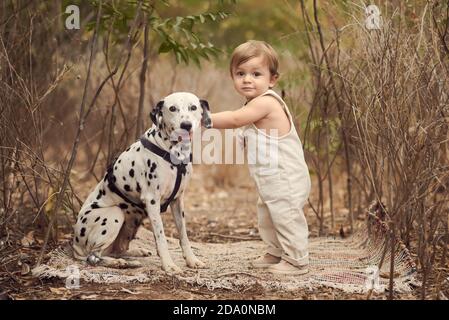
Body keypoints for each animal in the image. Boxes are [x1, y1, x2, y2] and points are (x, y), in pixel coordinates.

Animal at [72, 92, 212, 272]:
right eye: (172, 108)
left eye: (193, 107)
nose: (186, 125)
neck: (174, 153)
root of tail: (75, 246)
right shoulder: (152, 201)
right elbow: (161, 237)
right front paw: (168, 265)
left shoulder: (177, 201)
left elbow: (184, 236)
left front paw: (191, 260)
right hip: (114, 214)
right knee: (93, 256)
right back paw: (119, 263)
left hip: (133, 221)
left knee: (117, 249)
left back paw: (133, 255)